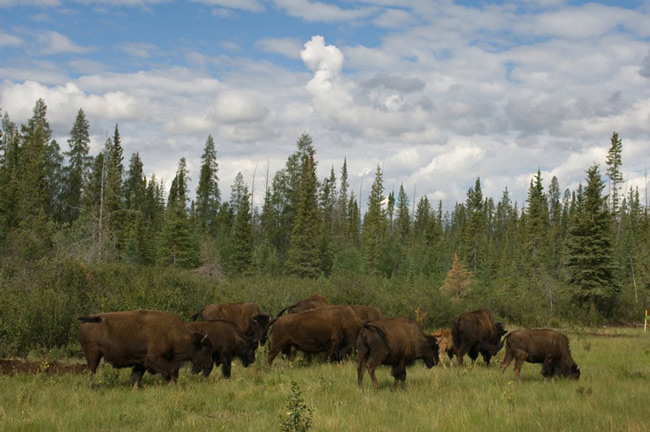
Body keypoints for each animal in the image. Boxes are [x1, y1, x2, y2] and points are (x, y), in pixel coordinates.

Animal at [78, 309, 213, 388]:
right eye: (204, 348)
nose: (208, 366)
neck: (172, 332)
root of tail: (87, 321)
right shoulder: (155, 358)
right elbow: (171, 371)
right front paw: (170, 384)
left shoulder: (142, 361)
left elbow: (136, 376)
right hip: (93, 355)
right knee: (91, 371)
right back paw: (93, 386)